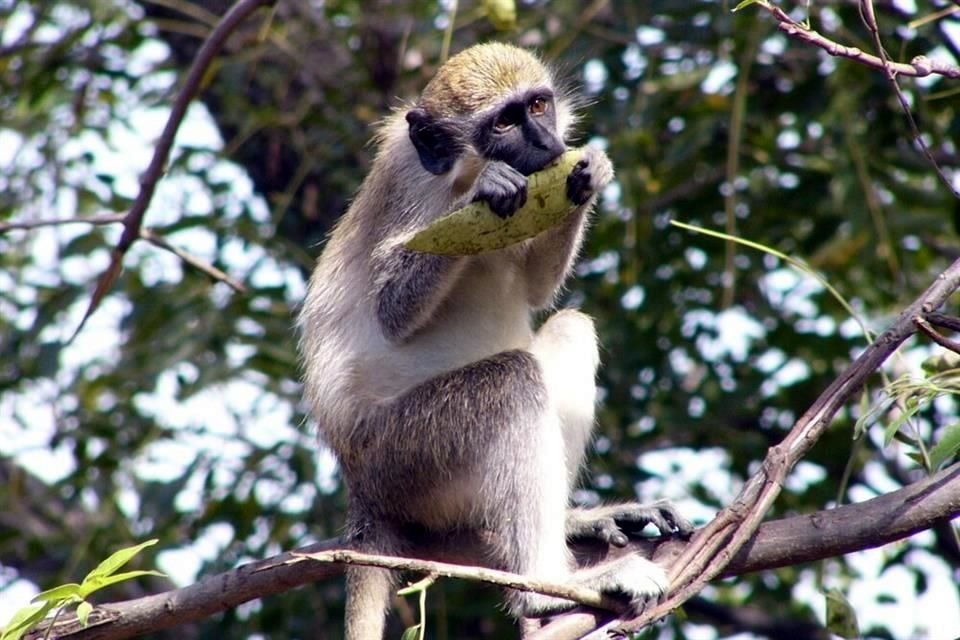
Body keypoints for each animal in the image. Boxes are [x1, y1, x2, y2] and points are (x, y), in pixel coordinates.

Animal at [300, 42, 688, 636]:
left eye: (538, 105)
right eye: (503, 123)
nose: (549, 145)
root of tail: (361, 488)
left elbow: (535, 290)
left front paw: (589, 175)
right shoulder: (408, 183)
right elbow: (391, 311)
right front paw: (490, 188)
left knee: (572, 330)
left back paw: (575, 523)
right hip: (405, 457)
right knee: (511, 378)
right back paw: (547, 588)